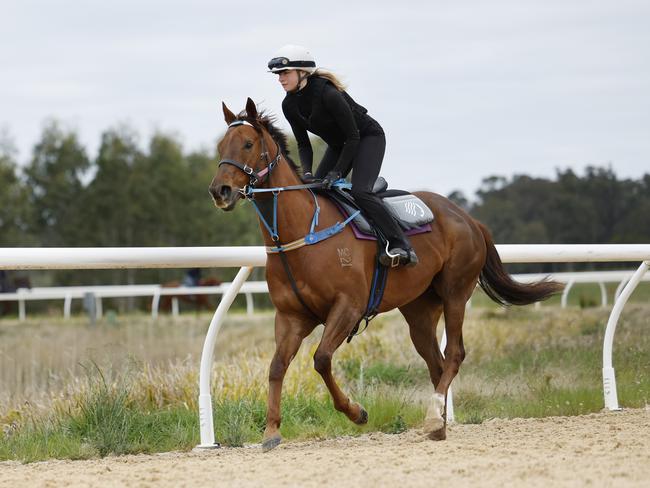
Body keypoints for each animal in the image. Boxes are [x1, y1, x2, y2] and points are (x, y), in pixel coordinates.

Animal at [209, 98, 560, 450]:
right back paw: (439, 423)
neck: (302, 233)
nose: (220, 190)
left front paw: (356, 412)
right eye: (220, 146)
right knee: (436, 362)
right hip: (419, 310)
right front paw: (271, 430)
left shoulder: (348, 307)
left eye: (248, 144)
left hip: (456, 292)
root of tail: (468, 218)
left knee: (454, 354)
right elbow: (277, 366)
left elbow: (321, 358)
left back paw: (435, 417)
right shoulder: (291, 316)